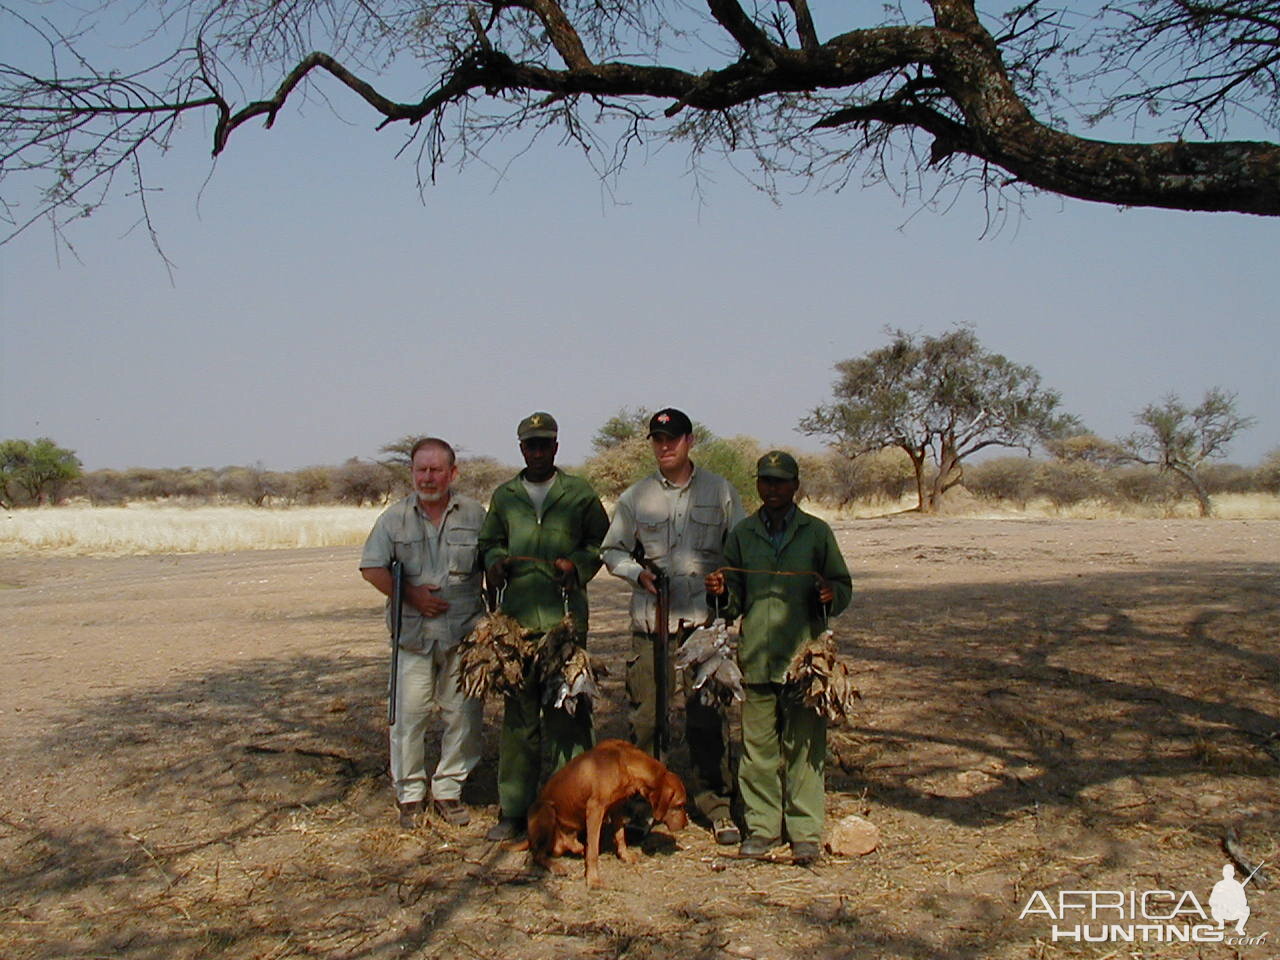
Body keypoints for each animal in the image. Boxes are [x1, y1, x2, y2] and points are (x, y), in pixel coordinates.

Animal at [519, 742, 686, 885]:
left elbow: (620, 836)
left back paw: (577, 847)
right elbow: (594, 850)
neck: (623, 762)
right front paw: (593, 879)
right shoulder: (595, 810)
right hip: (546, 810)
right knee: (537, 854)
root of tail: (529, 836)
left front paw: (625, 855)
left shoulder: (617, 806)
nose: (686, 824)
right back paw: (556, 865)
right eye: (679, 805)